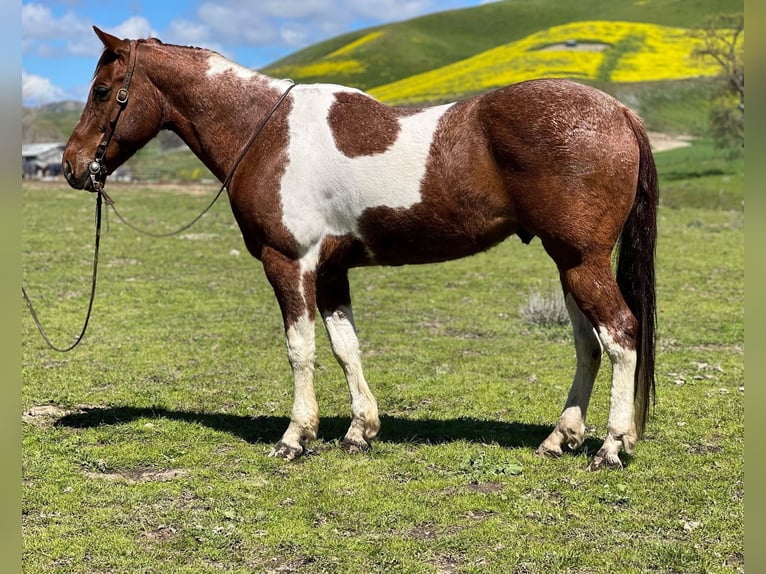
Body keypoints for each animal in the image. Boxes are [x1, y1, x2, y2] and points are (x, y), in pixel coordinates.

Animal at [63, 25, 660, 472]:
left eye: (102, 91)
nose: (71, 165)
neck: (265, 133)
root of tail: (619, 113)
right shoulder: (330, 272)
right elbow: (345, 347)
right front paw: (359, 430)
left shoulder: (289, 264)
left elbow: (300, 349)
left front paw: (295, 437)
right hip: (567, 263)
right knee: (587, 345)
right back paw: (561, 438)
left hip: (581, 262)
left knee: (620, 335)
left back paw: (612, 446)